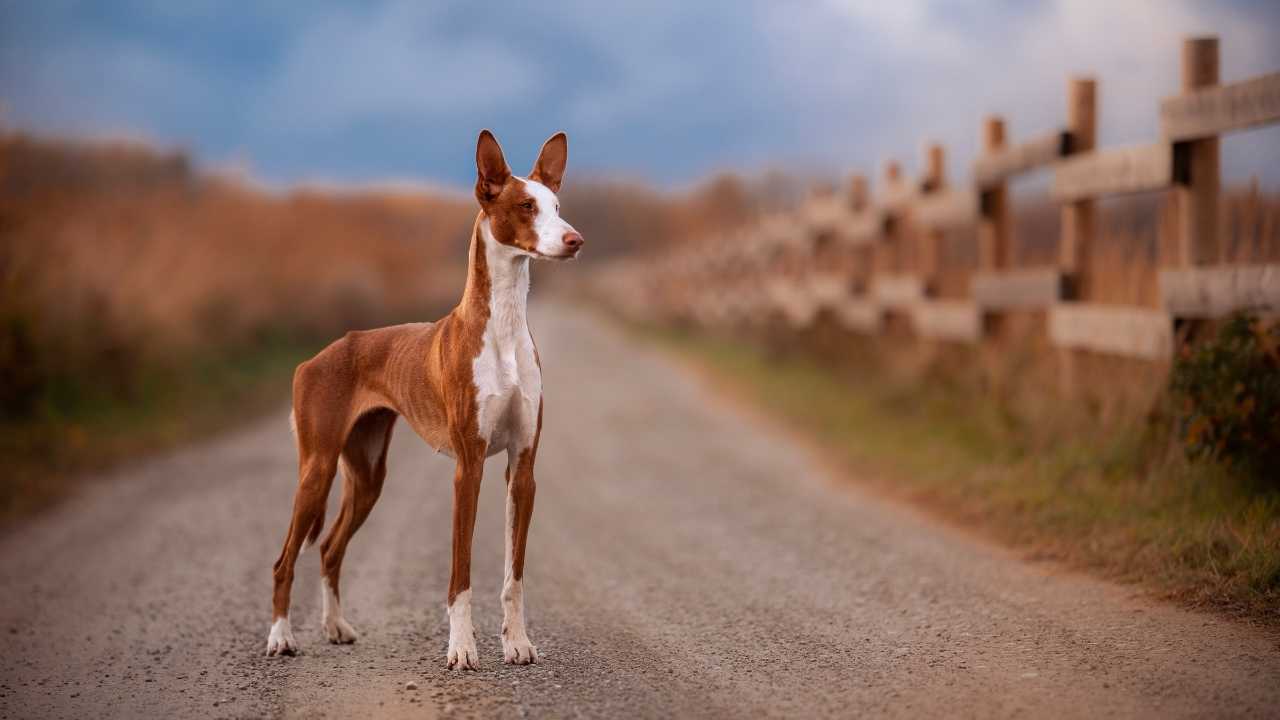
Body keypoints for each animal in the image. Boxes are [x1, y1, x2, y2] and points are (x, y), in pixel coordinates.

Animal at [267, 128, 586, 666]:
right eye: (526, 206)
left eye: (557, 205)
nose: (575, 240)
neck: (503, 326)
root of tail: (317, 356)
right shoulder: (468, 466)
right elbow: (461, 574)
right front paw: (461, 648)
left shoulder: (522, 467)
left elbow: (514, 575)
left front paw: (517, 642)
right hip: (317, 469)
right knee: (284, 558)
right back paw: (280, 636)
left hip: (367, 475)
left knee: (329, 549)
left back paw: (335, 627)